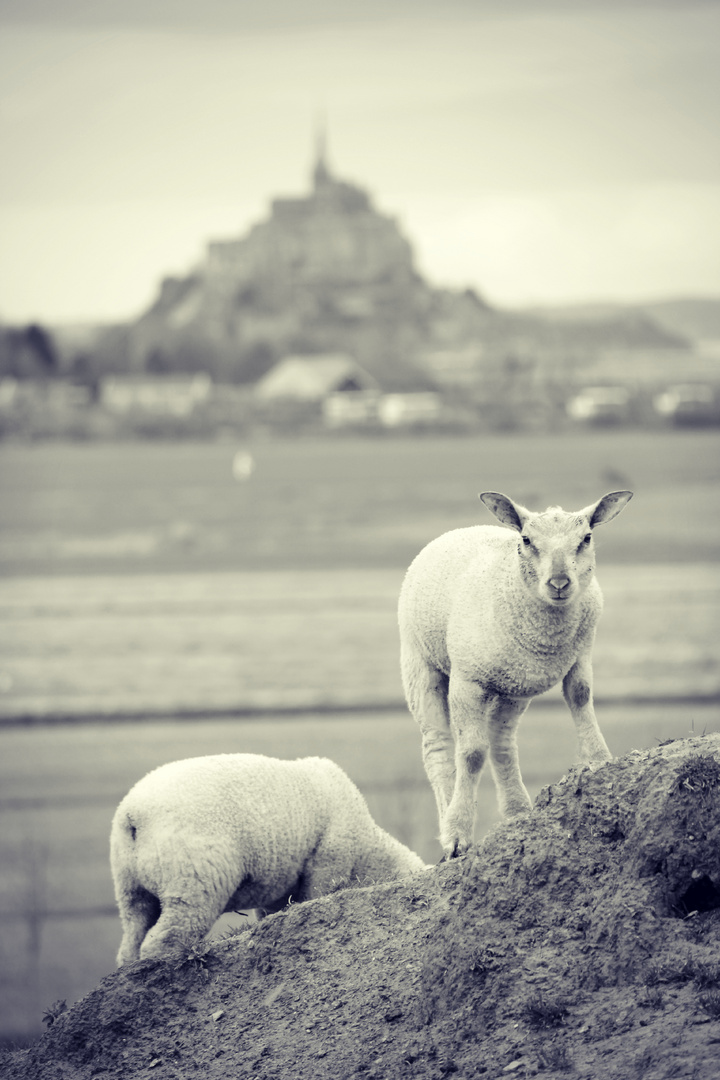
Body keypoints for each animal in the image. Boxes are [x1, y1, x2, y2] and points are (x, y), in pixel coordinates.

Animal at [111, 751, 427, 963]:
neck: (369, 848)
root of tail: (134, 816)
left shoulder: (279, 889)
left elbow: (273, 913)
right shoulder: (329, 858)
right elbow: (317, 895)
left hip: (131, 886)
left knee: (132, 938)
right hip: (192, 876)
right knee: (165, 938)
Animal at [399, 492, 630, 859]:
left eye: (586, 539)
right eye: (526, 540)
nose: (559, 583)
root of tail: (459, 530)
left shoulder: (579, 656)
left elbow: (580, 697)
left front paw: (600, 762)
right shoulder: (467, 681)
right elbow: (470, 755)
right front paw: (457, 834)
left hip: (514, 683)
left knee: (502, 742)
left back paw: (517, 813)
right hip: (420, 664)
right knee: (438, 746)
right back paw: (448, 817)